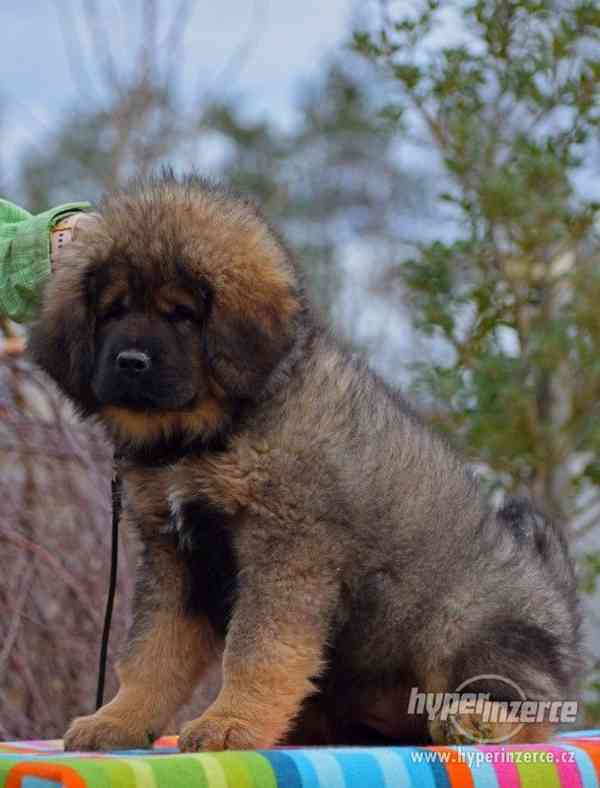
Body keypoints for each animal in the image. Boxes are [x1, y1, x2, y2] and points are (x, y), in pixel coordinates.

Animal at [29, 172, 580, 752]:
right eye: (112, 310)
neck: (205, 437)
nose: (130, 362)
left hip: (458, 622)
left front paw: (229, 724)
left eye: (182, 315)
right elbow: (151, 653)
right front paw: (120, 719)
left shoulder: (286, 550)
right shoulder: (174, 555)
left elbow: (256, 651)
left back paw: (474, 719)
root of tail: (560, 607)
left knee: (530, 708)